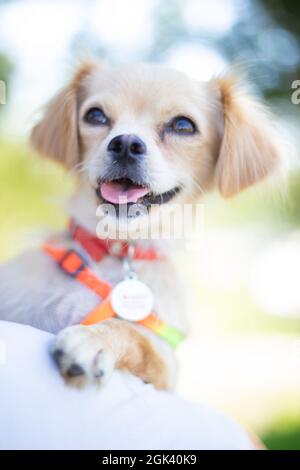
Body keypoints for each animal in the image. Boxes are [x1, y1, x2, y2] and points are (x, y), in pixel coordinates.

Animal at [0, 63, 280, 392]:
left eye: (183, 125)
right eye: (95, 115)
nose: (125, 144)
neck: (120, 252)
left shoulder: (166, 364)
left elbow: (134, 336)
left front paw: (93, 339)